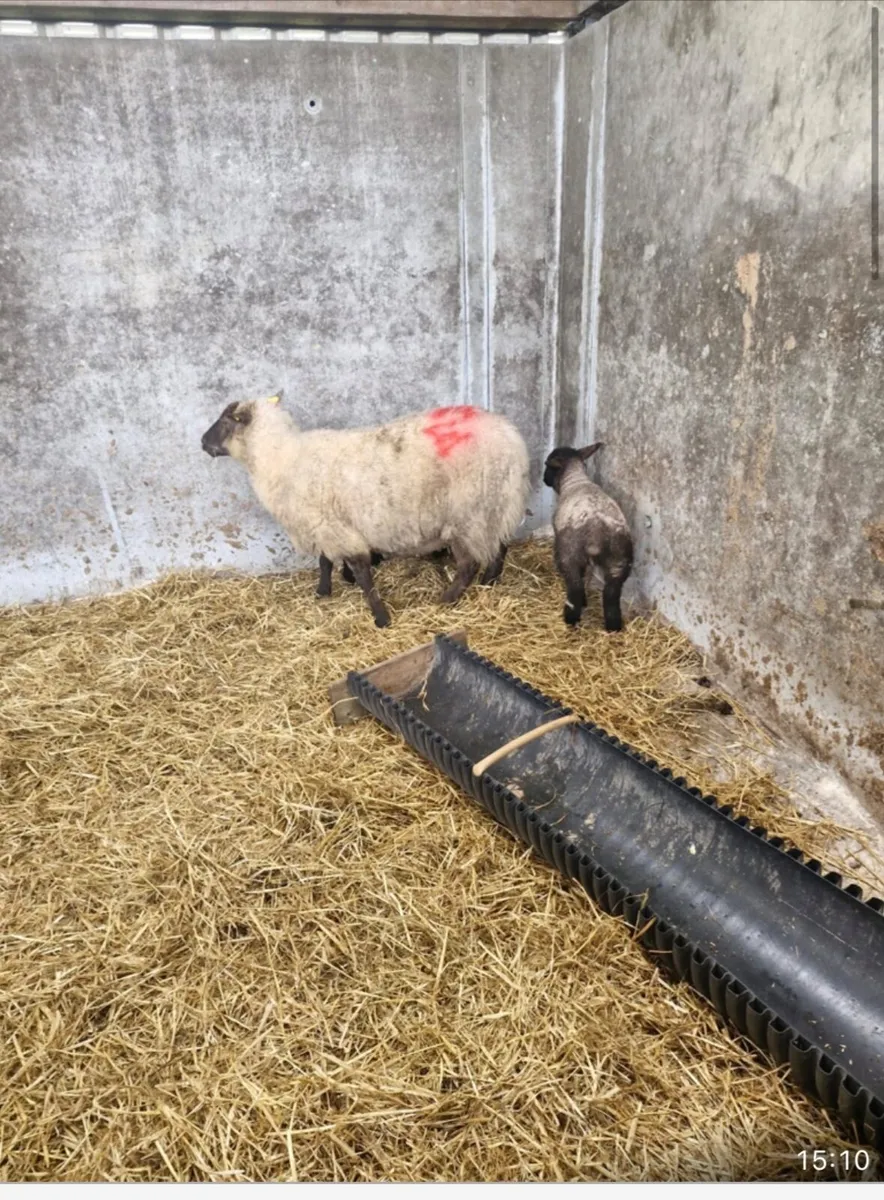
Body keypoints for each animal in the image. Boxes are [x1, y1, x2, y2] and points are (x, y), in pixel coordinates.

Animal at [201, 394, 530, 627]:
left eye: (226, 421)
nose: (203, 442)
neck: (281, 458)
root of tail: (511, 435)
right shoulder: (328, 523)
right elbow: (325, 561)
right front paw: (323, 591)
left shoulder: (333, 527)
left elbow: (362, 574)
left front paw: (380, 617)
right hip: (499, 503)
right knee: (501, 545)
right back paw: (490, 581)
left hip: (471, 512)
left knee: (469, 563)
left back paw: (448, 598)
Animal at [543, 443, 633, 633]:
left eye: (548, 465)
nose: (543, 479)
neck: (575, 480)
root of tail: (597, 533)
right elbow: (588, 576)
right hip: (619, 561)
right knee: (611, 595)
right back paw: (613, 627)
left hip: (570, 555)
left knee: (575, 588)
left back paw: (571, 618)